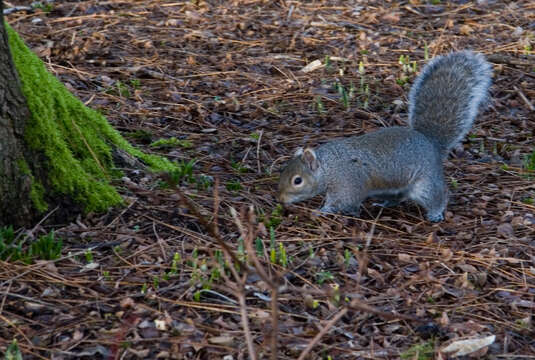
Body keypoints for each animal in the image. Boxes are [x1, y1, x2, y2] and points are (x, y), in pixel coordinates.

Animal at [280, 49, 494, 221]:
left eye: (297, 180)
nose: (279, 198)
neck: (328, 167)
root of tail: (431, 143)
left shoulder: (346, 184)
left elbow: (341, 202)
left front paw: (322, 211)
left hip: (425, 182)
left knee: (435, 196)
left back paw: (435, 214)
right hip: (390, 187)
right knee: (398, 196)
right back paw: (383, 204)